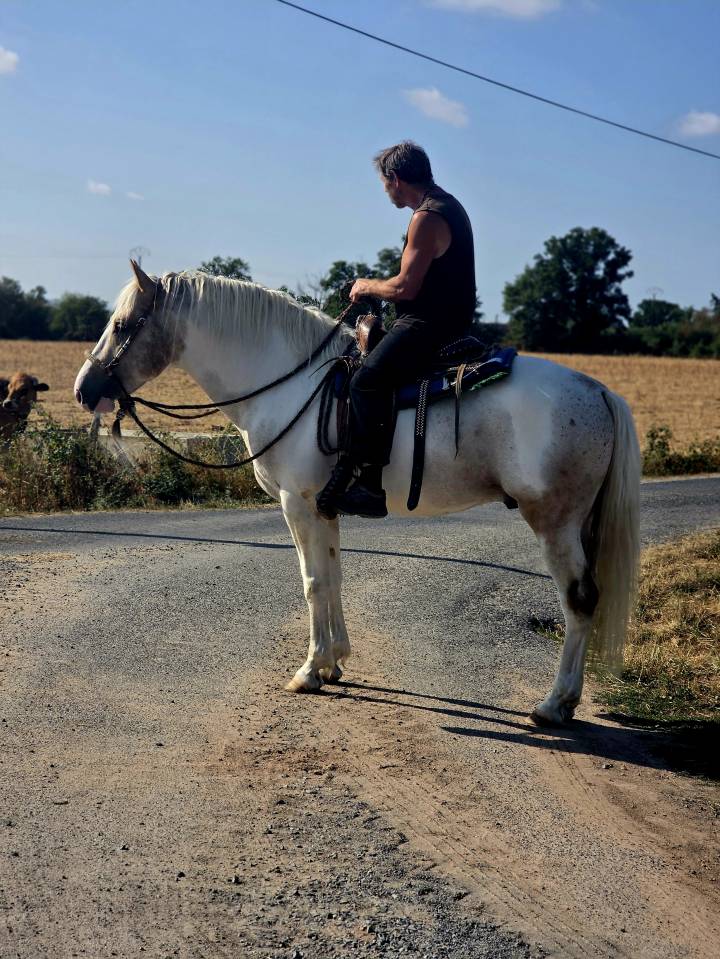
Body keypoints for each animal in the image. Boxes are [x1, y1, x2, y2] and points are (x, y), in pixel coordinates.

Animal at [74, 261, 640, 725]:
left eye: (121, 325)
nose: (83, 390)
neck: (294, 385)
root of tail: (598, 391)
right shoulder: (325, 508)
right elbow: (333, 577)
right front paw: (334, 662)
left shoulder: (297, 504)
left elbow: (311, 583)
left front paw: (308, 670)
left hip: (555, 523)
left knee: (579, 601)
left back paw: (555, 704)